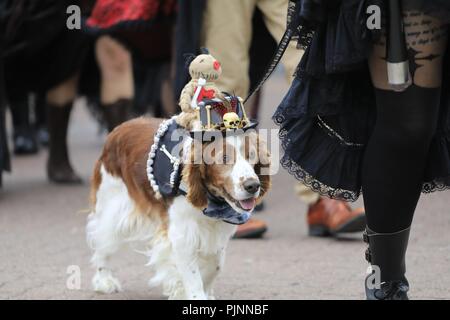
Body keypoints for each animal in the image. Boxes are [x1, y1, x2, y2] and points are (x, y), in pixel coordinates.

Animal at [87, 115, 270, 300]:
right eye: (224, 158)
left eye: (251, 154)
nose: (253, 186)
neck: (210, 198)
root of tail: (118, 129)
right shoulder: (183, 233)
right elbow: (192, 274)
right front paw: (195, 295)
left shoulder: (217, 232)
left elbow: (215, 265)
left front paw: (196, 291)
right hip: (113, 207)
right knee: (103, 243)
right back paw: (104, 281)